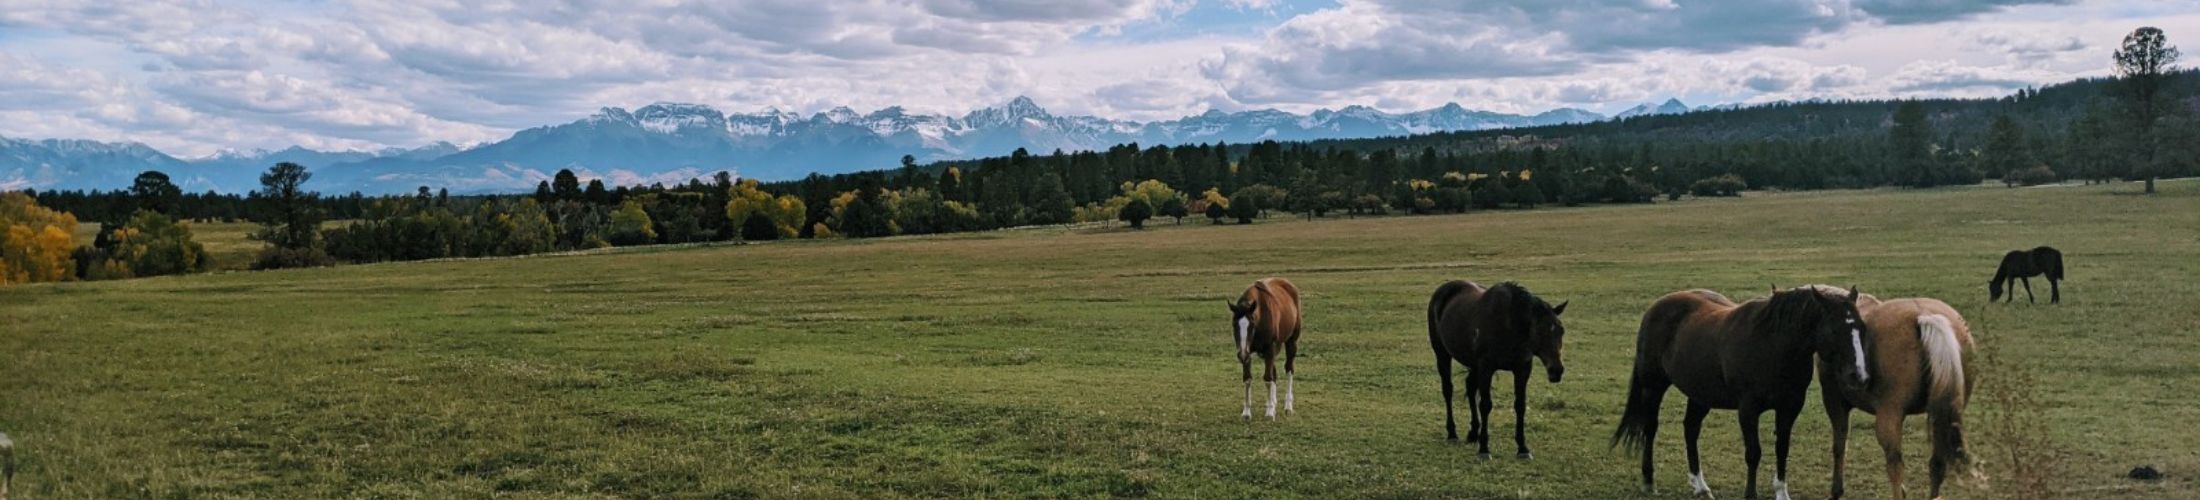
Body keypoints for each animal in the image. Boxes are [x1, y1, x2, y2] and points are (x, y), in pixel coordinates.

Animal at [1227, 278, 1303, 421]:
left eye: (1252, 325)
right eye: (1234, 325)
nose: (1241, 355)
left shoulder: (1269, 349)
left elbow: (1268, 378)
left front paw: (1269, 412)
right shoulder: (1248, 352)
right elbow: (1248, 379)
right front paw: (1246, 412)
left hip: (1291, 342)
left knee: (1289, 369)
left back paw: (1288, 406)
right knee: (1274, 373)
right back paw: (1273, 401)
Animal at [1427, 280, 1569, 459]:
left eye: (1561, 330)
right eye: (1539, 331)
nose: (1557, 370)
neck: (1509, 325)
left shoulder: (1522, 369)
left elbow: (1520, 405)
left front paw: (1523, 448)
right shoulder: (1486, 368)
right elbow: (1485, 405)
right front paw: (1484, 449)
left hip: (1474, 365)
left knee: (1470, 388)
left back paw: (1473, 433)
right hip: (1442, 354)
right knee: (1448, 390)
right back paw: (1452, 433)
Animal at [1613, 286, 1871, 500]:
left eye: (1861, 327)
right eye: (1835, 329)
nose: (1858, 375)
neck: (1774, 346)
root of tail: (1656, 307)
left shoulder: (1790, 407)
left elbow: (1782, 448)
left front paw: (1781, 493)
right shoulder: (1748, 409)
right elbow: (1753, 453)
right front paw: (1750, 494)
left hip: (1700, 394)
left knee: (1691, 429)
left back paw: (1700, 486)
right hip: (1653, 386)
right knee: (1650, 428)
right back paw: (1648, 480)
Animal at [1797, 286, 1977, 500]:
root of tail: (1925, 315)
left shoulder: (1835, 402)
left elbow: (1839, 445)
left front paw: (1836, 490)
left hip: (1889, 416)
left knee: (1895, 465)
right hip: (1942, 417)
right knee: (1937, 463)